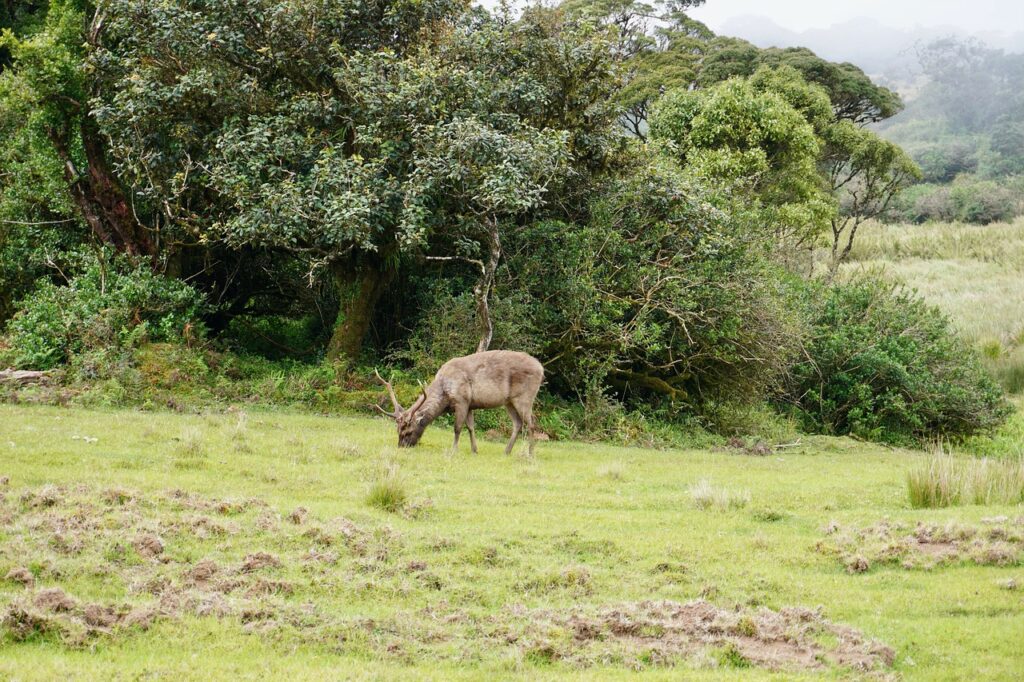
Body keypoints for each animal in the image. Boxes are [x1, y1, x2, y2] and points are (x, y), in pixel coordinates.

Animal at [374, 348, 544, 454]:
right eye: (397, 430)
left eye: (408, 431)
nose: (401, 447)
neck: (445, 394)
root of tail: (541, 369)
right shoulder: (470, 404)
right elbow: (471, 427)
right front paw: (475, 450)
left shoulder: (462, 400)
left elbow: (457, 428)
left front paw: (454, 450)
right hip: (509, 401)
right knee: (518, 423)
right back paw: (507, 451)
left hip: (525, 396)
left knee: (532, 423)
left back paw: (530, 454)